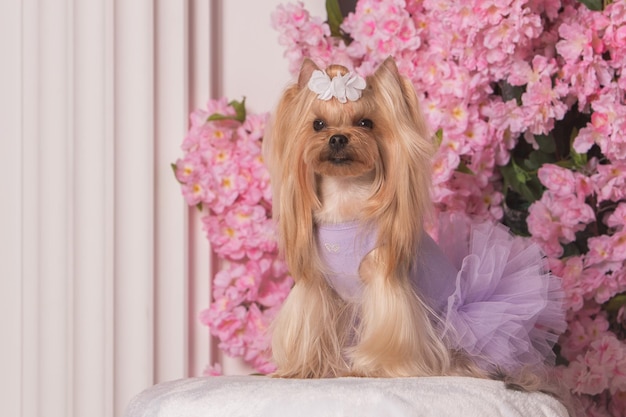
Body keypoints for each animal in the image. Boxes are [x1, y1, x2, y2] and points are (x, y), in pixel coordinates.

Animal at [264, 57, 564, 386]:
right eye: (318, 124)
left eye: (365, 123)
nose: (338, 137)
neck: (344, 196)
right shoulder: (318, 285)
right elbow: (311, 325)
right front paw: (302, 370)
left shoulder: (385, 281)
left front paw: (370, 368)